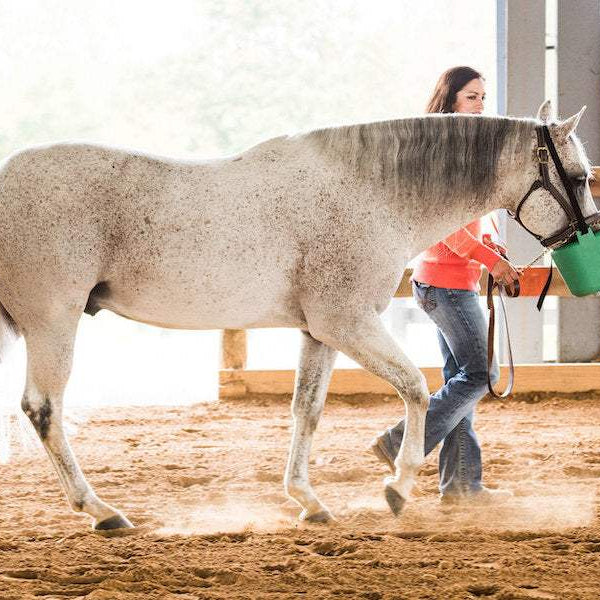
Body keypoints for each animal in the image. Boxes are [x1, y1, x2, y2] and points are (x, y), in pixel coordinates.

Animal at [0, 99, 592, 528]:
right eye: (583, 176)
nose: (586, 233)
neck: (373, 194)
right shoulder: (348, 322)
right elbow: (416, 388)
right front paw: (397, 487)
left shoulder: (319, 333)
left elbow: (306, 411)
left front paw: (309, 500)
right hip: (54, 322)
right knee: (43, 409)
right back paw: (101, 511)